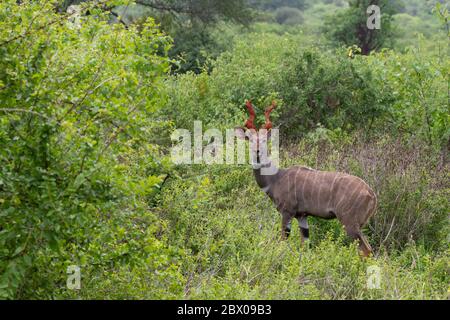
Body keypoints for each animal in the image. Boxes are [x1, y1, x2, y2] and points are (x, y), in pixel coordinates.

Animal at [234, 101, 378, 256]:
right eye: (250, 140)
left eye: (264, 140)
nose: (257, 152)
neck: (276, 178)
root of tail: (372, 195)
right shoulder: (302, 216)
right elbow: (305, 244)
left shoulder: (287, 212)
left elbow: (283, 240)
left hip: (349, 222)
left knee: (366, 249)